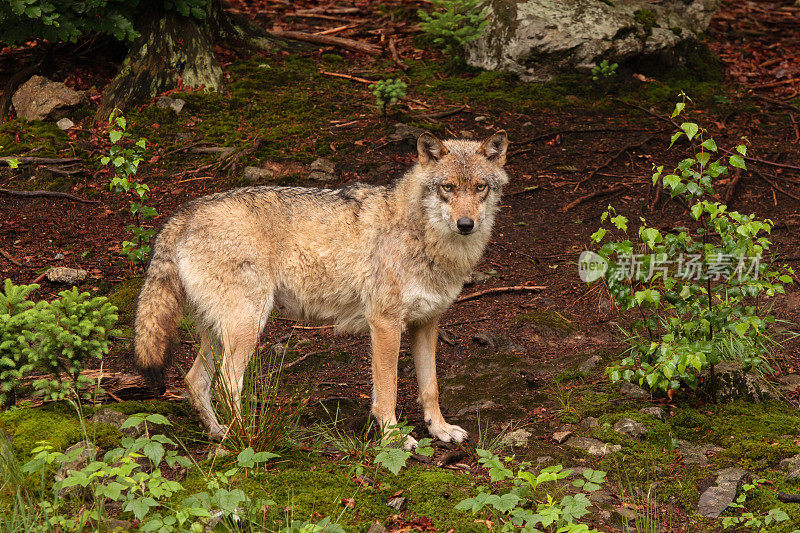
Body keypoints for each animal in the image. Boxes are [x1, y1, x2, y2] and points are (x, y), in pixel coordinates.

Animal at [131, 129, 506, 444]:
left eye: (479, 187)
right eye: (448, 188)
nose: (466, 224)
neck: (425, 237)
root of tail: (186, 211)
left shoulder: (426, 324)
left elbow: (431, 387)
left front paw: (440, 430)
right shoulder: (385, 324)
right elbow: (387, 391)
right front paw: (393, 438)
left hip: (220, 331)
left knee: (195, 382)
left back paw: (218, 434)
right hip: (247, 327)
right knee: (226, 384)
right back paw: (244, 438)